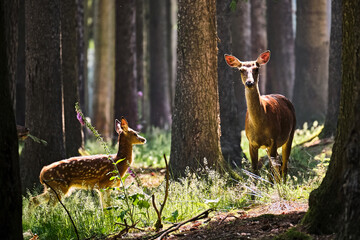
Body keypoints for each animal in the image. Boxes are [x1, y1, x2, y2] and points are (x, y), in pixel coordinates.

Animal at [224, 50, 296, 182]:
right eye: (241, 70)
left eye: (256, 68)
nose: (249, 82)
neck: (259, 125)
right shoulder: (251, 142)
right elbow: (255, 170)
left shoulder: (273, 139)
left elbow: (271, 170)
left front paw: (273, 186)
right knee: (278, 163)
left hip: (290, 133)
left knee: (283, 165)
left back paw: (282, 183)